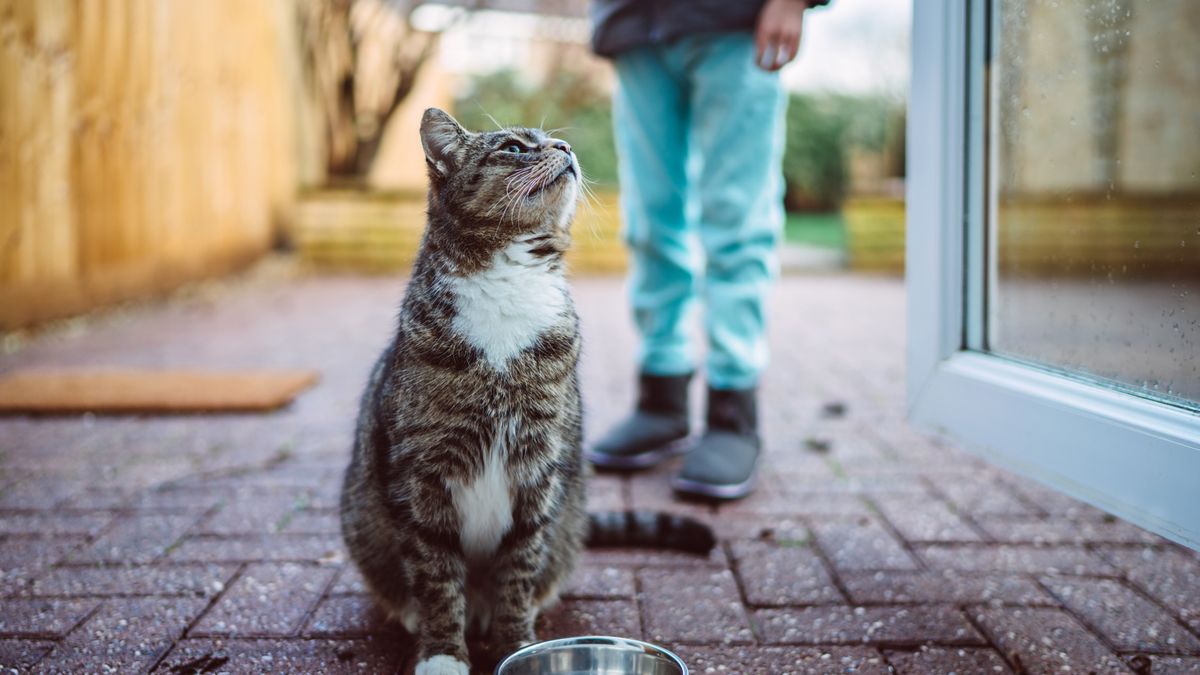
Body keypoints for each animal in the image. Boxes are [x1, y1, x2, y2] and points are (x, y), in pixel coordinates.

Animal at [338, 110, 710, 672]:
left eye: (554, 141)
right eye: (513, 148)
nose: (566, 147)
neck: (508, 281)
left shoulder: (538, 468)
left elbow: (518, 569)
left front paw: (517, 645)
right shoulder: (423, 473)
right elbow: (436, 574)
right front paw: (442, 653)